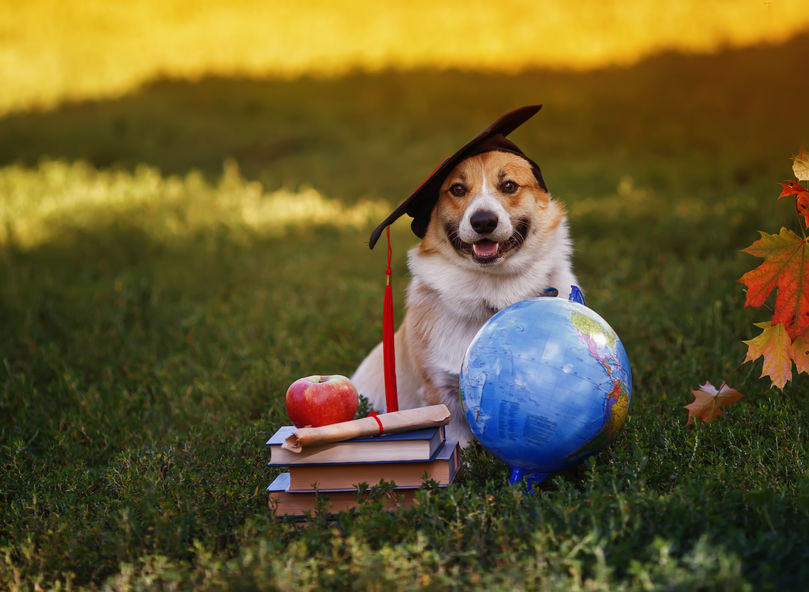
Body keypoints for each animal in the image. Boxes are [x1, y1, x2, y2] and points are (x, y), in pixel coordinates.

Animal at [352, 148, 576, 444]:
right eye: (457, 189)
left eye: (509, 186)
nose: (483, 222)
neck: (492, 292)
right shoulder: (440, 388)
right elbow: (458, 441)